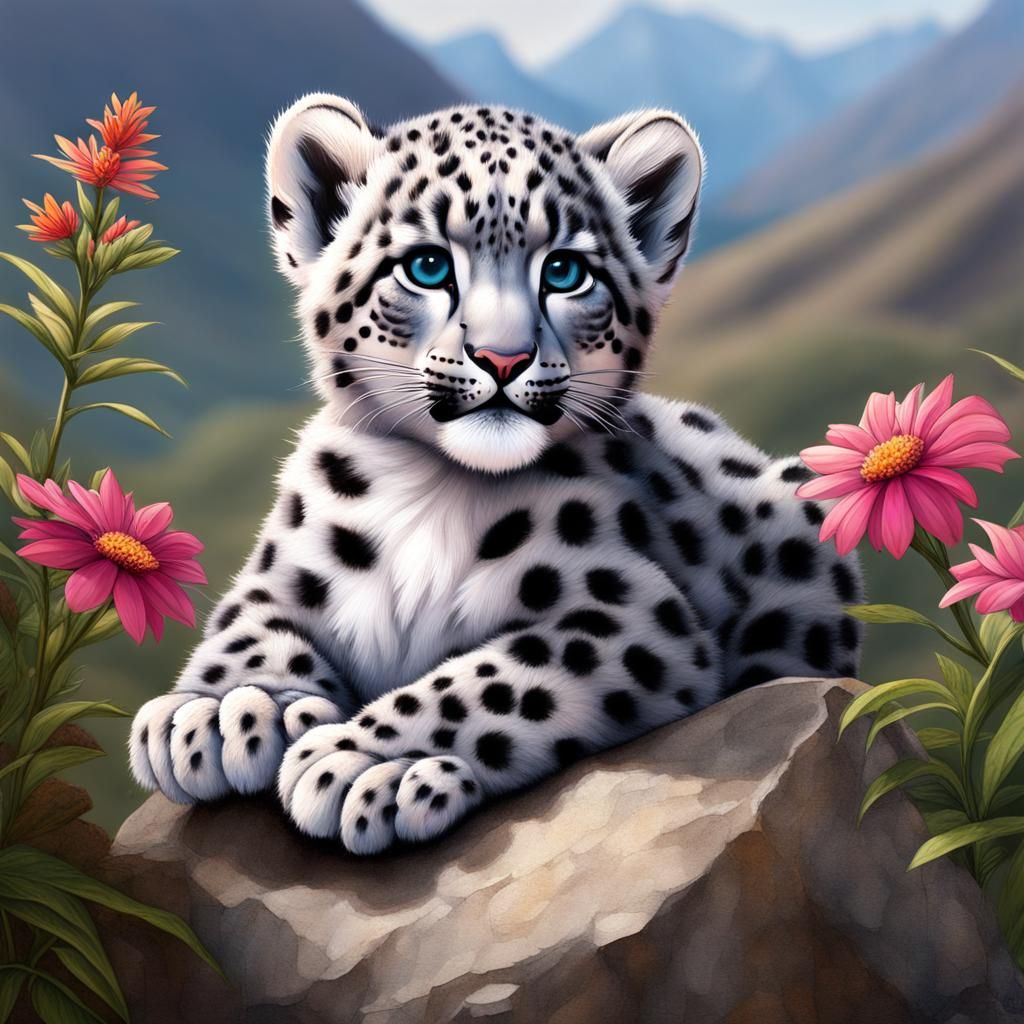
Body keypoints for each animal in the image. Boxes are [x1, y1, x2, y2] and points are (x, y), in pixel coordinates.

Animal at [129, 93, 862, 853]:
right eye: (426, 266)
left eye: (565, 271)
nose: (503, 358)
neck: (432, 491)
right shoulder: (282, 570)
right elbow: (244, 622)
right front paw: (226, 708)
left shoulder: (625, 611)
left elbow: (490, 678)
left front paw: (368, 762)